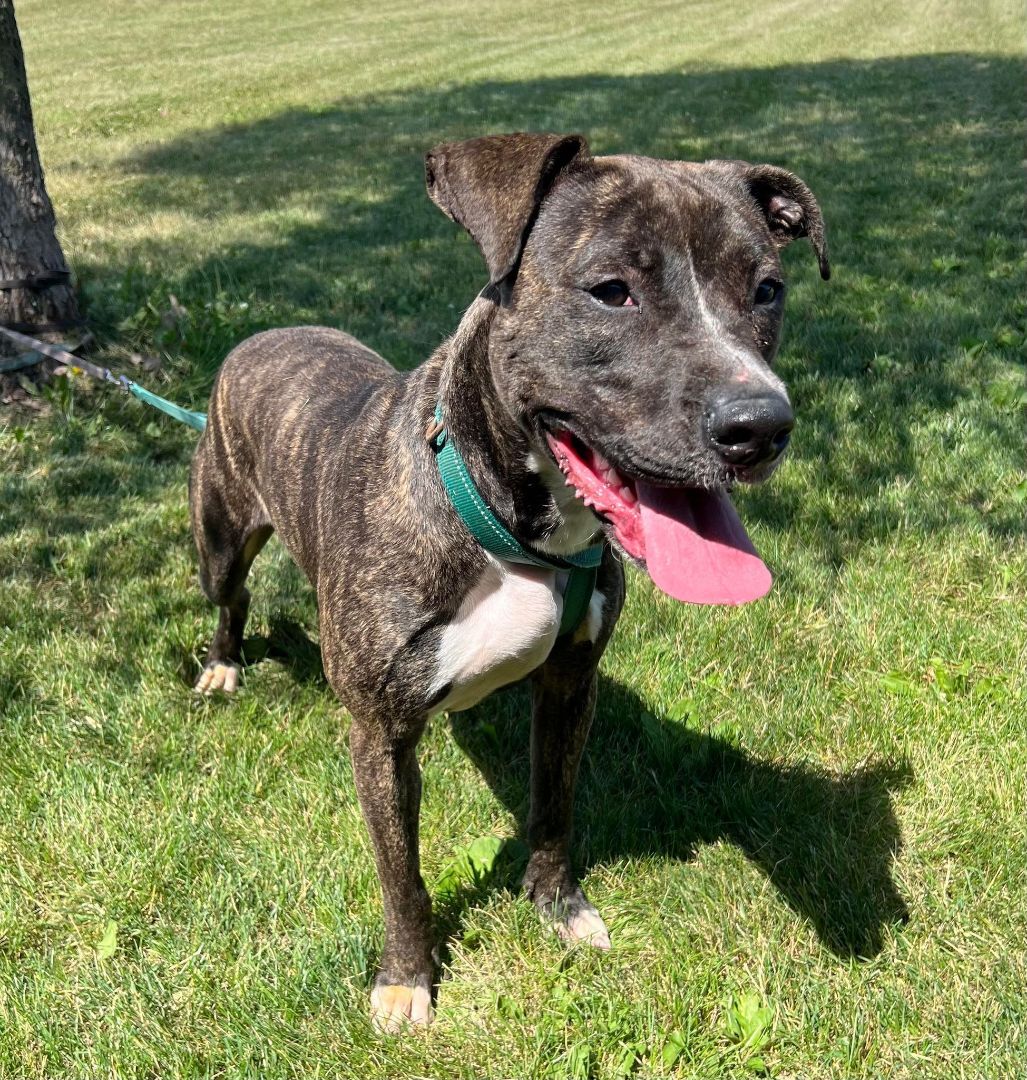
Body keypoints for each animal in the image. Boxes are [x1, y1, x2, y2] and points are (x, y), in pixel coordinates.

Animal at [188, 130, 829, 1032]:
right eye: (610, 291)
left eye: (767, 289)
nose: (760, 424)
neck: (506, 526)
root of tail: (264, 333)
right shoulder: (380, 736)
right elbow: (402, 877)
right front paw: (405, 978)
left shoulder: (569, 683)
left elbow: (552, 809)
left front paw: (558, 907)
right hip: (219, 536)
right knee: (231, 596)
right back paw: (222, 666)